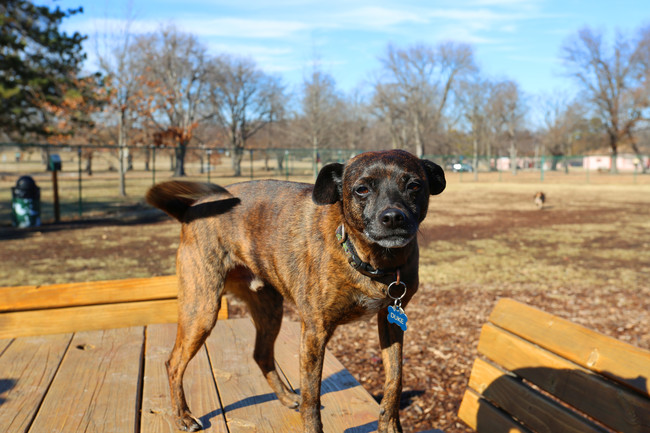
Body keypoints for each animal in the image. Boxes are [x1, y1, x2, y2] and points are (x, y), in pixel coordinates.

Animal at [144, 149, 442, 432]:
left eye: (414, 185)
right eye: (362, 189)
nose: (393, 217)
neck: (373, 261)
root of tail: (191, 209)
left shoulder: (391, 324)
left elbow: (395, 381)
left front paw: (390, 426)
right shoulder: (314, 333)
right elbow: (312, 398)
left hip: (270, 310)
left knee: (261, 355)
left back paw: (286, 397)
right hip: (202, 311)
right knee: (173, 363)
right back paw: (183, 416)